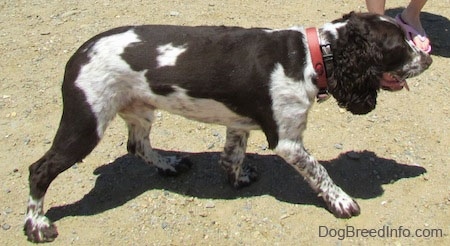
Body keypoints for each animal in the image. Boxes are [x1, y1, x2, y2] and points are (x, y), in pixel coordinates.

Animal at [24, 12, 432, 242]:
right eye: (399, 44)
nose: (428, 58)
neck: (313, 55)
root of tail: (78, 54)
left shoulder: (239, 125)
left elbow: (231, 156)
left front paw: (238, 178)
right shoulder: (287, 141)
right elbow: (320, 171)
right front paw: (342, 202)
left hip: (139, 111)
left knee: (137, 146)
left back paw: (169, 164)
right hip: (85, 123)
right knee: (39, 169)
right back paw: (37, 225)